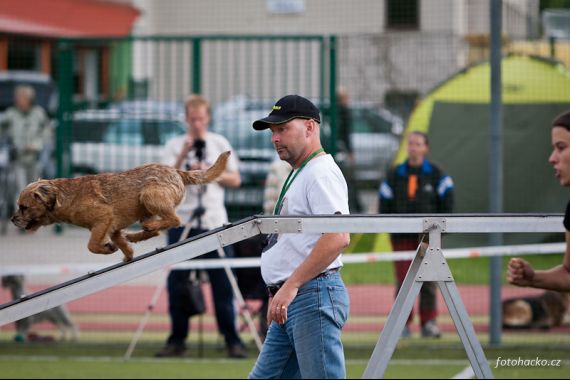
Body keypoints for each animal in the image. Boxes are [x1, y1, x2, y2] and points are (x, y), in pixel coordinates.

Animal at [11, 151, 230, 262]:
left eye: (24, 207)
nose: (12, 219)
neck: (64, 197)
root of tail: (176, 171)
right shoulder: (113, 228)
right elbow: (121, 242)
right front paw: (127, 254)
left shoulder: (103, 219)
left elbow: (92, 245)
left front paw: (107, 249)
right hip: (145, 209)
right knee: (156, 230)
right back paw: (136, 235)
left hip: (149, 195)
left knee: (175, 220)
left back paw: (145, 230)